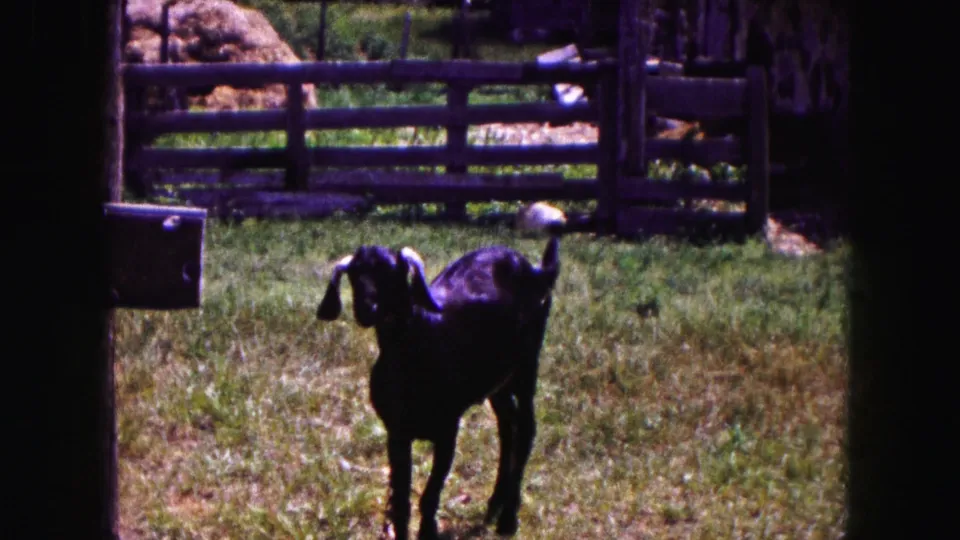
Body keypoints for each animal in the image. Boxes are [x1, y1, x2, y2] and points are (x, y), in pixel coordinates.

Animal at [316, 237, 560, 540]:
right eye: (353, 274)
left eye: (391, 271)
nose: (366, 309)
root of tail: (533, 269)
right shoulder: (397, 432)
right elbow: (401, 501)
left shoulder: (448, 430)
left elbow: (429, 496)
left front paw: (428, 531)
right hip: (496, 383)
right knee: (507, 427)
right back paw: (494, 505)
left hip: (526, 366)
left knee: (526, 429)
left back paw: (508, 519)